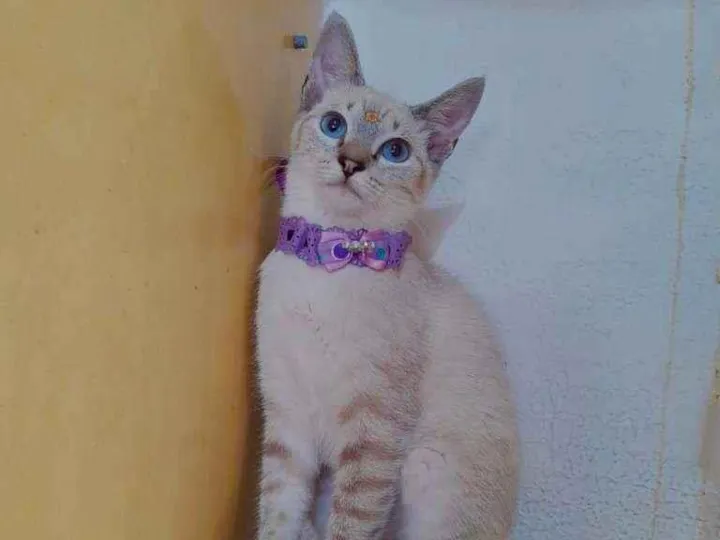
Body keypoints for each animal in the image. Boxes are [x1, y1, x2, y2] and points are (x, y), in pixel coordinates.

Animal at [255, 11, 519, 540]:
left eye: (395, 151)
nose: (351, 162)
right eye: (334, 125)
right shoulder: (286, 419)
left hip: (426, 469)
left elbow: (351, 524)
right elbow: (276, 517)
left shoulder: (373, 434)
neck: (330, 258)